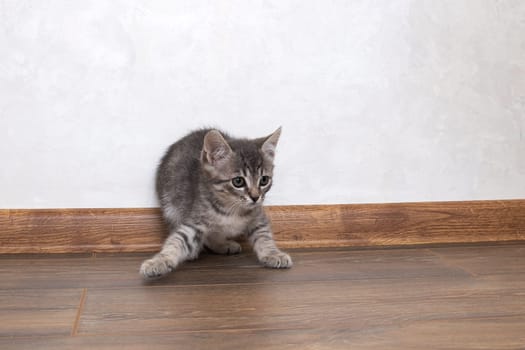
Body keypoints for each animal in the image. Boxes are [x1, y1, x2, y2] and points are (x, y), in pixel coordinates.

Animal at [139, 127, 292, 278]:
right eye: (238, 181)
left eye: (264, 180)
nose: (255, 197)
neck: (232, 208)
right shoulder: (195, 219)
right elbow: (177, 240)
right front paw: (158, 261)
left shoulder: (258, 216)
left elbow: (264, 235)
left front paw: (273, 253)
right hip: (170, 205)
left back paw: (223, 245)